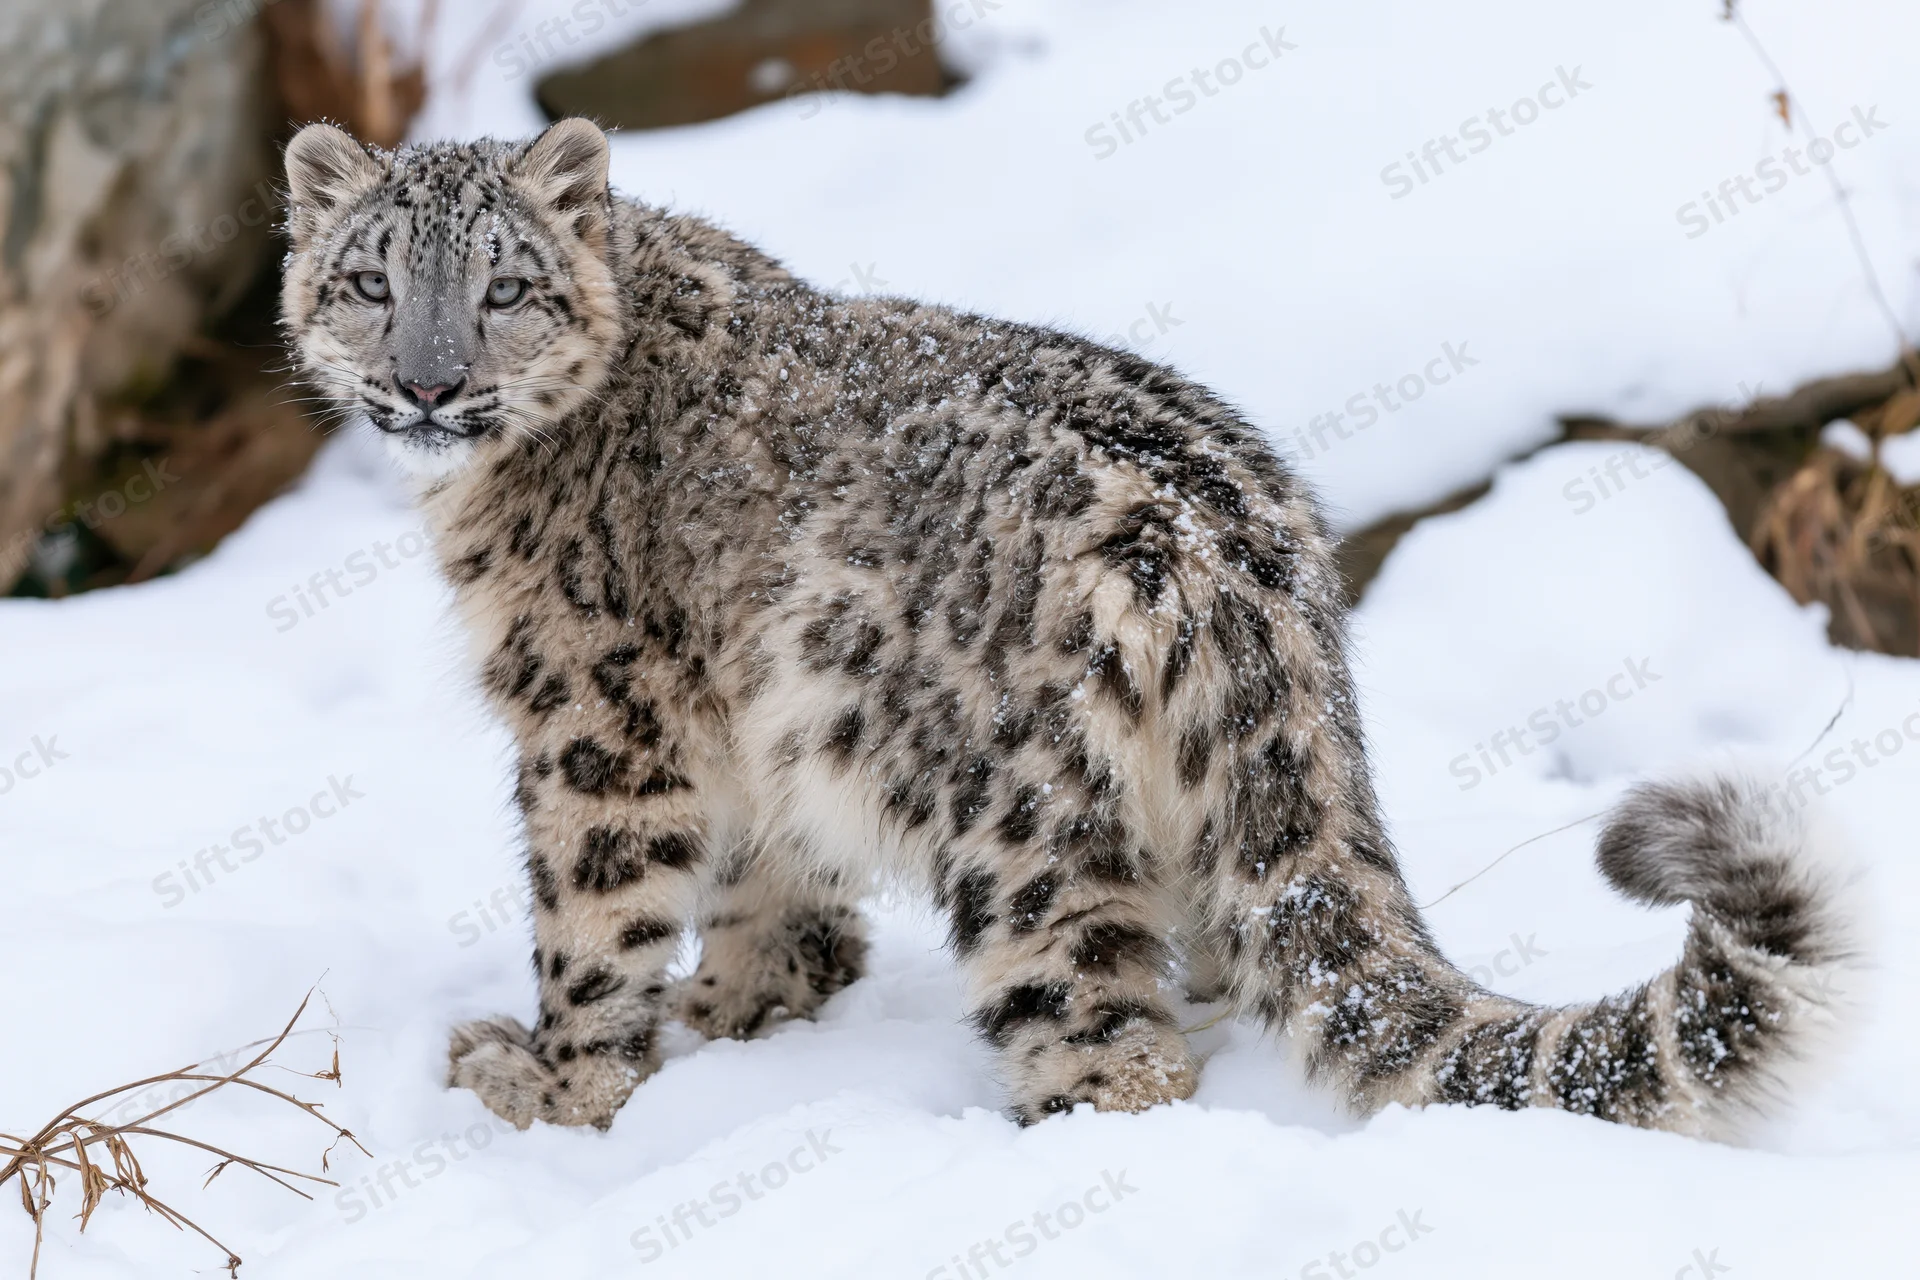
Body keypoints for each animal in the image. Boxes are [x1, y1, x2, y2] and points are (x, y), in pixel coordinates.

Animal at [280, 117, 1862, 1138]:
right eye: (367, 282)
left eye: (505, 286)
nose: (426, 383)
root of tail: (1238, 553)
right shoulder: (752, 723)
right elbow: (772, 891)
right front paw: (739, 1016)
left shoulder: (595, 715)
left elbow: (596, 924)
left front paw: (548, 1086)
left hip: (1023, 829)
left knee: (1113, 1049)